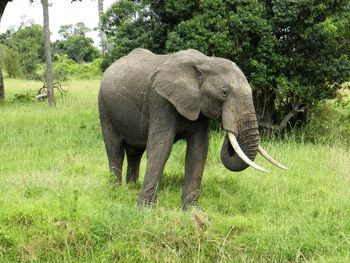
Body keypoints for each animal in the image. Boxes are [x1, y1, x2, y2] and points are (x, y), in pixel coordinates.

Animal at [97, 48, 286, 209]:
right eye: (224, 93)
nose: (229, 126)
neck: (205, 62)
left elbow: (198, 150)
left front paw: (191, 211)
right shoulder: (160, 101)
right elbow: (160, 148)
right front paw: (144, 210)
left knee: (135, 153)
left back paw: (131, 187)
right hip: (104, 106)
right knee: (114, 149)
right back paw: (115, 190)